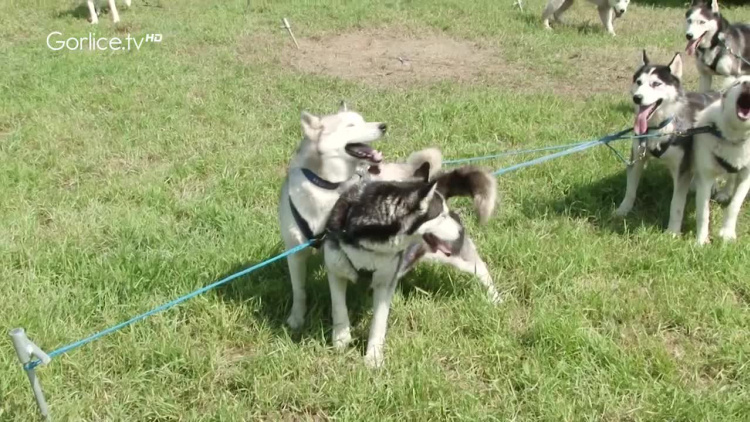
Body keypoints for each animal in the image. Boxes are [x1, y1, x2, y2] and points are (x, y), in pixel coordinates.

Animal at [280, 104, 388, 330]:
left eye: (363, 120)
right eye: (350, 125)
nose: (383, 126)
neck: (327, 186)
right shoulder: (294, 249)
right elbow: (298, 289)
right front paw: (297, 318)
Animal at [324, 165, 496, 366]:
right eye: (441, 215)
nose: (460, 226)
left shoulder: (385, 283)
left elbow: (378, 323)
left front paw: (373, 358)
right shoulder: (335, 268)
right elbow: (338, 307)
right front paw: (341, 340)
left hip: (458, 256)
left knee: (481, 268)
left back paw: (495, 298)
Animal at [616, 50, 724, 232]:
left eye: (655, 83)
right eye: (639, 82)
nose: (637, 98)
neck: (659, 127)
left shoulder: (681, 169)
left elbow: (677, 204)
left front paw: (672, 231)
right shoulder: (637, 157)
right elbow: (630, 190)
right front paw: (622, 210)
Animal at [692, 77, 750, 246]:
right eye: (738, 83)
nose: (748, 84)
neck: (734, 137)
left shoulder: (747, 176)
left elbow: (734, 206)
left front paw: (728, 233)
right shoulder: (705, 177)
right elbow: (703, 213)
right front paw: (701, 241)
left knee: (731, 176)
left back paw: (725, 192)